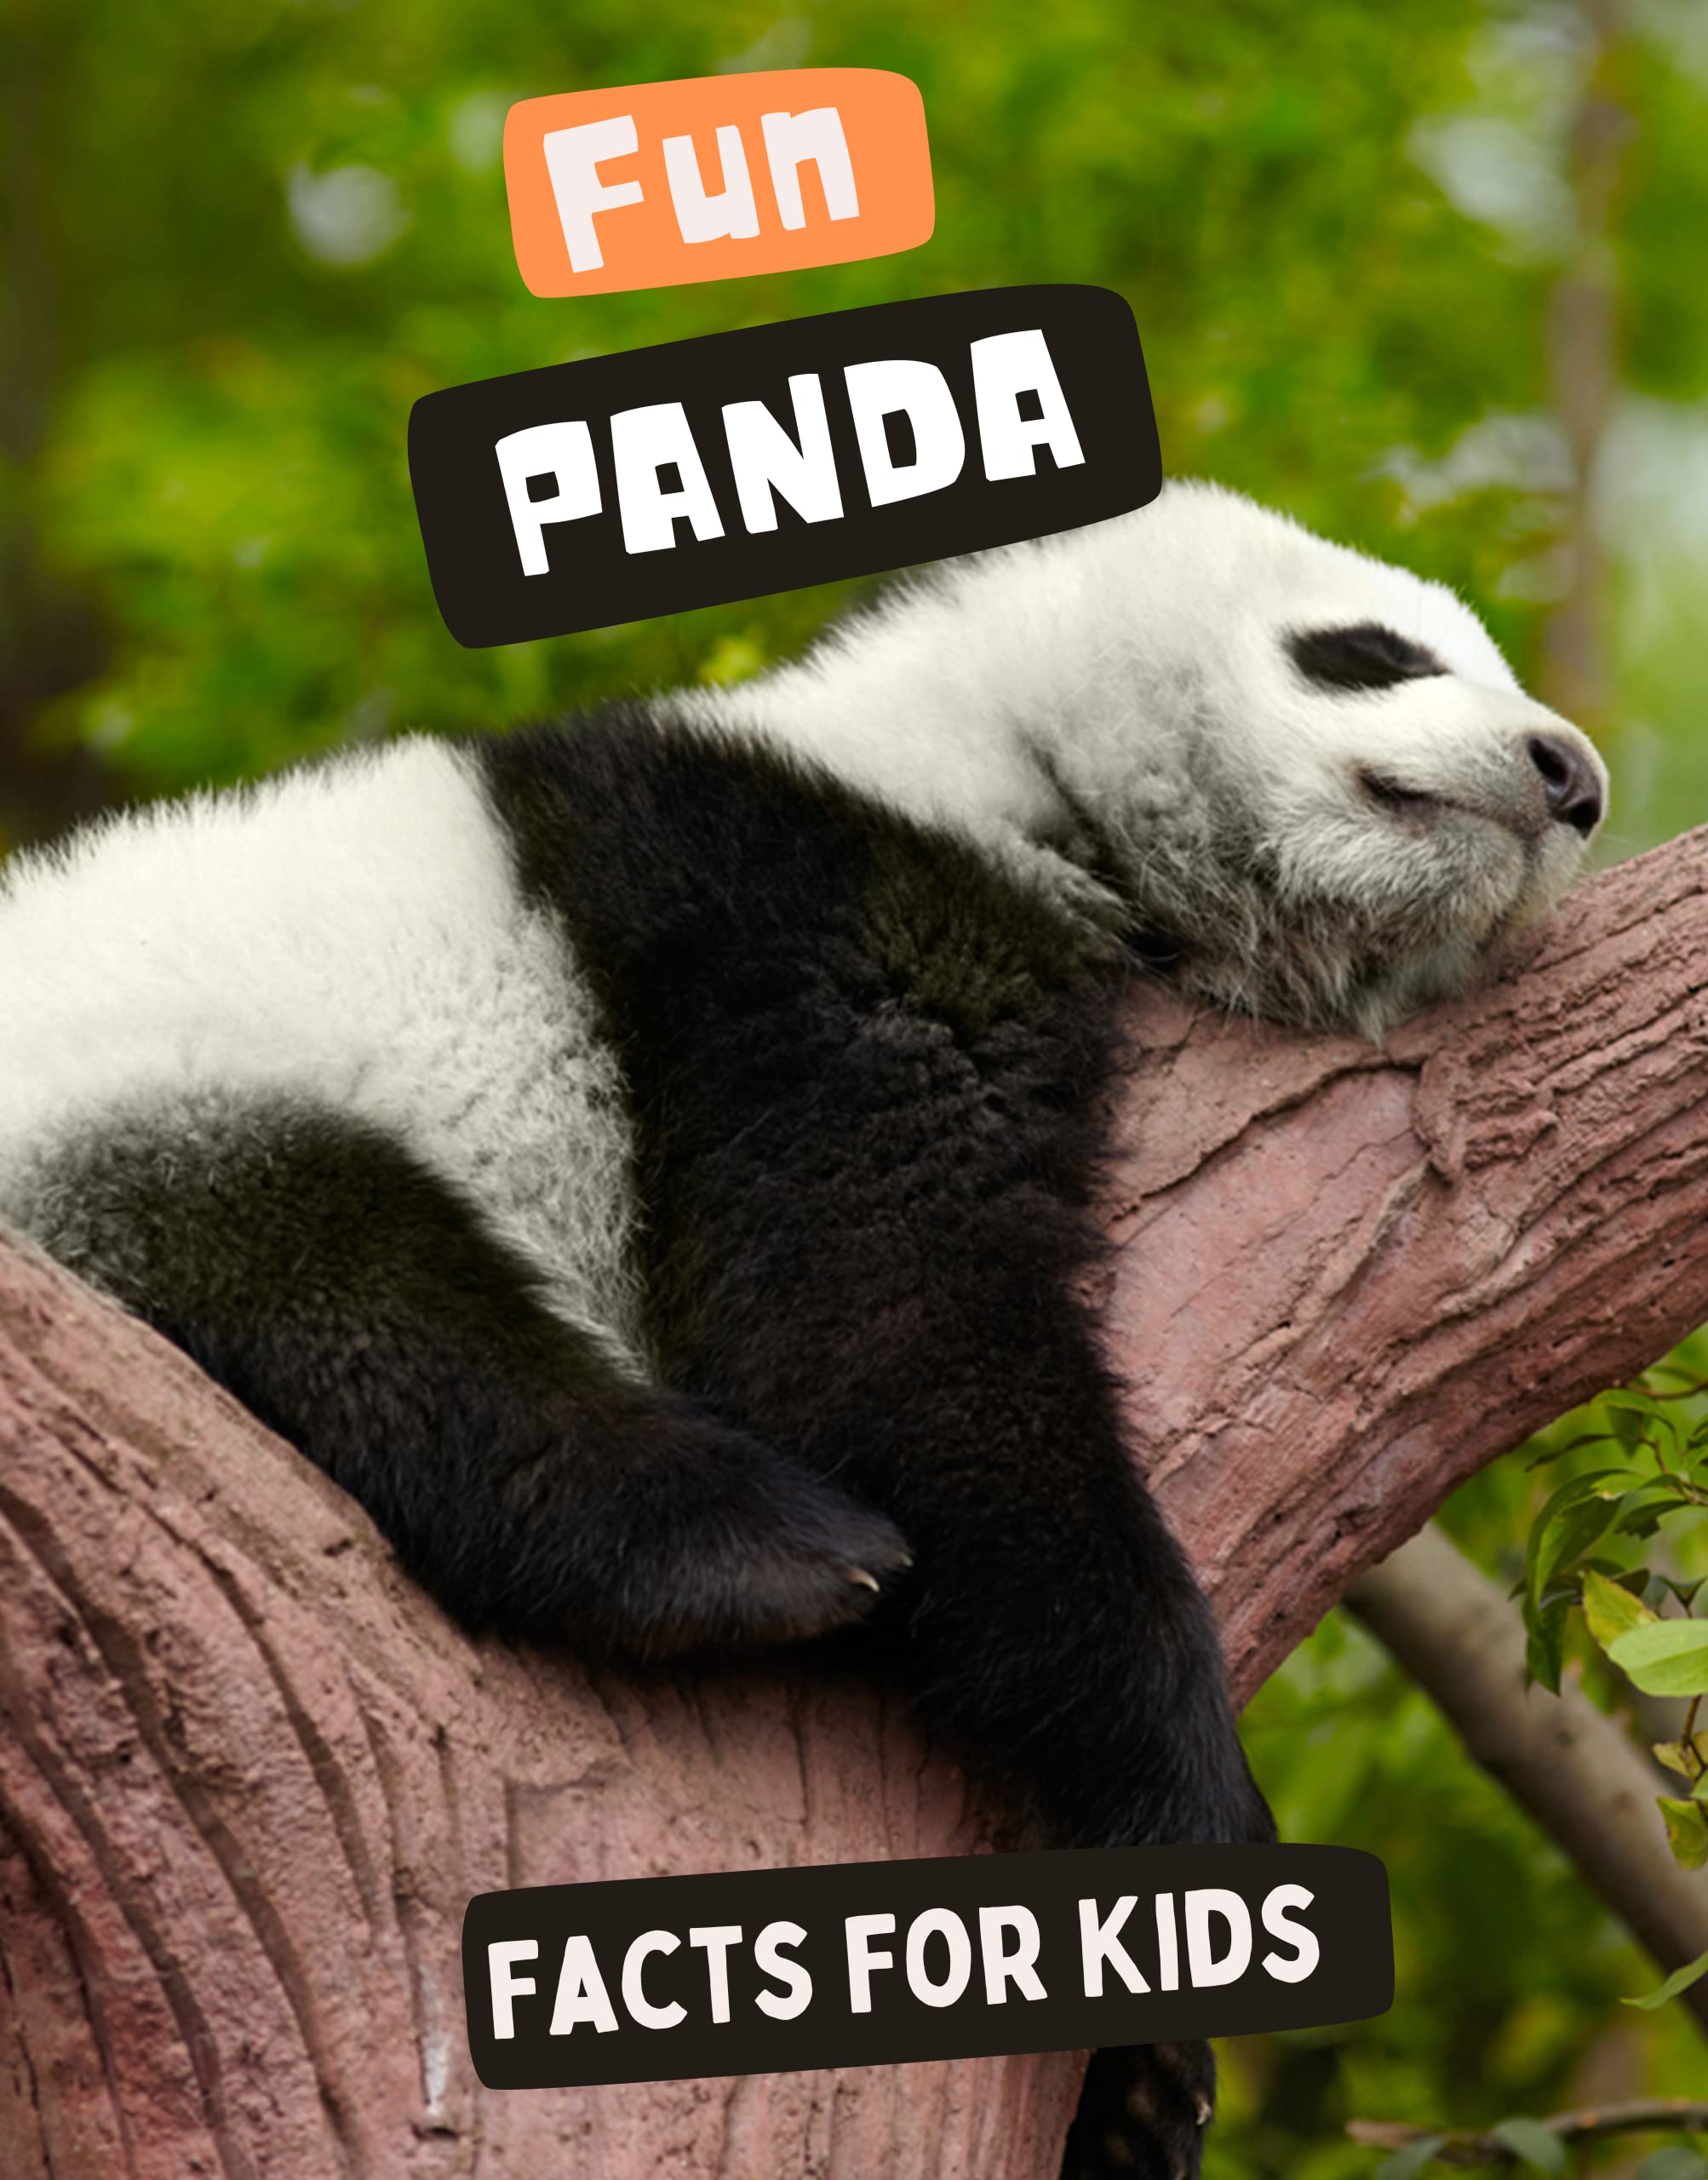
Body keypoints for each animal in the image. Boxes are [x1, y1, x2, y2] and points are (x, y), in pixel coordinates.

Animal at [0, 480, 1606, 2180]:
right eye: (1368, 652)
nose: (1572, 779)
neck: (970, 752)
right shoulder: (811, 905)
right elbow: (879, 1331)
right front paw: (1202, 1838)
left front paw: (1136, 2084)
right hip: (137, 1115)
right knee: (348, 1278)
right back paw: (752, 1551)